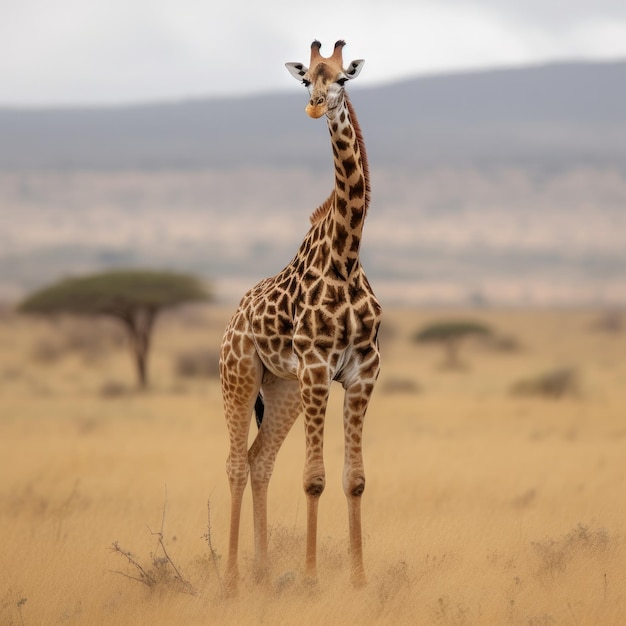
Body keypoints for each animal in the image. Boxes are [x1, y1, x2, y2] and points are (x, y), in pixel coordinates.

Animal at [219, 40, 380, 588]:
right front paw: (311, 582)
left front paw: (359, 580)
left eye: (342, 78)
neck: (346, 257)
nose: (314, 106)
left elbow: (355, 480)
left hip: (282, 389)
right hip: (240, 375)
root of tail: (232, 321)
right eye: (307, 77)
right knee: (235, 463)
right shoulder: (316, 369)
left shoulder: (361, 373)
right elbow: (314, 479)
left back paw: (264, 572)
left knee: (260, 460)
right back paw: (231, 579)